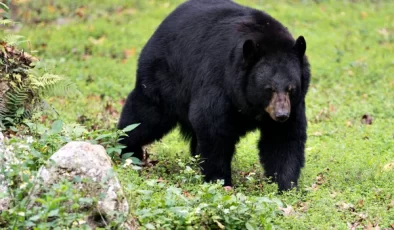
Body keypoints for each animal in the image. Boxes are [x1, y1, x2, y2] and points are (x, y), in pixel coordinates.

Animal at [117, 0, 310, 191]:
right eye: (268, 88)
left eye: (291, 88)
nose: (281, 115)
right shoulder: (219, 80)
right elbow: (213, 126)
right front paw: (220, 180)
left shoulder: (294, 105)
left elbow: (283, 139)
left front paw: (286, 186)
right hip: (164, 77)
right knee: (145, 116)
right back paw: (127, 150)